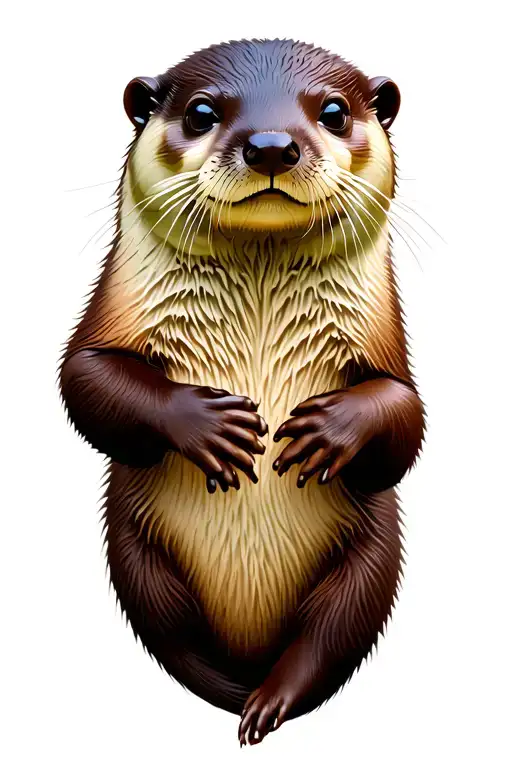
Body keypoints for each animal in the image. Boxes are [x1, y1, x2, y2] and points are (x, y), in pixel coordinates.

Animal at [59, 38, 425, 746]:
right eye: (202, 112)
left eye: (333, 111)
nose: (271, 145)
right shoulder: (105, 327)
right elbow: (84, 377)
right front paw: (210, 426)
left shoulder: (387, 349)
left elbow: (406, 415)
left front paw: (325, 431)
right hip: (135, 551)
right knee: (173, 633)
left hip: (372, 554)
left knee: (331, 631)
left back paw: (269, 699)